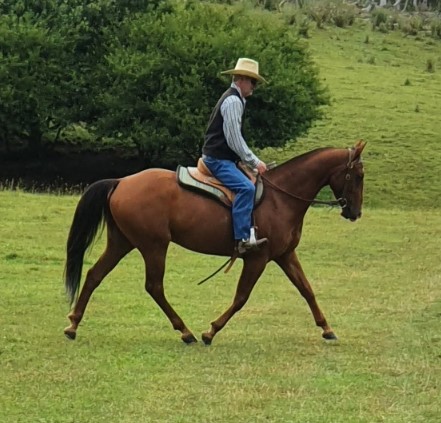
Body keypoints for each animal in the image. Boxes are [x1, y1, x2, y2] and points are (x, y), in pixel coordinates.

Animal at [64, 140, 366, 344]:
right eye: (358, 176)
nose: (355, 212)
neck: (281, 198)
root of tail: (121, 181)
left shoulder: (285, 255)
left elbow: (307, 290)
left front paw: (326, 328)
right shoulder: (257, 258)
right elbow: (241, 297)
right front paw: (211, 331)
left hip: (123, 242)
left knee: (94, 275)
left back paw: (73, 325)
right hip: (154, 245)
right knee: (154, 287)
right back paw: (185, 331)